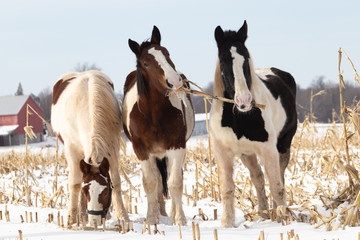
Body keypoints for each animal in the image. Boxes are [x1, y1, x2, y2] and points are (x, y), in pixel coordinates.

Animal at [50, 70, 129, 226]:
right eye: (85, 191)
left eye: (105, 192)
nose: (95, 220)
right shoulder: (71, 148)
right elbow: (75, 183)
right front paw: (72, 217)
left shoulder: (112, 146)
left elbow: (115, 181)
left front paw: (123, 217)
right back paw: (81, 215)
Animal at [210, 20, 296, 227]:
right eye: (223, 60)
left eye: (246, 58)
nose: (244, 101)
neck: (239, 117)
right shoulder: (223, 153)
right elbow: (227, 189)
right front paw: (227, 224)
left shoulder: (269, 150)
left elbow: (277, 186)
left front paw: (283, 219)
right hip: (246, 153)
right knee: (258, 177)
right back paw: (263, 214)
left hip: (283, 145)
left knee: (278, 178)